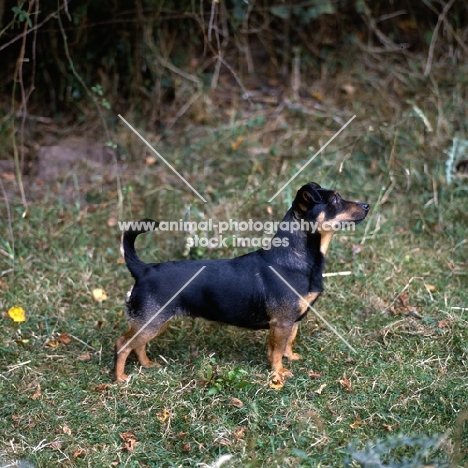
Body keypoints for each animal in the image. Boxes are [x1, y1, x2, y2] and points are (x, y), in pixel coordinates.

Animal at [114, 182, 370, 384]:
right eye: (335, 200)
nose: (367, 205)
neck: (297, 257)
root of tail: (144, 269)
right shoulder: (281, 323)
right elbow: (276, 351)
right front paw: (278, 374)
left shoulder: (292, 321)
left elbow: (288, 343)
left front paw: (290, 358)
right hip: (152, 321)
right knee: (122, 344)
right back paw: (120, 378)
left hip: (154, 323)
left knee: (136, 344)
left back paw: (147, 365)